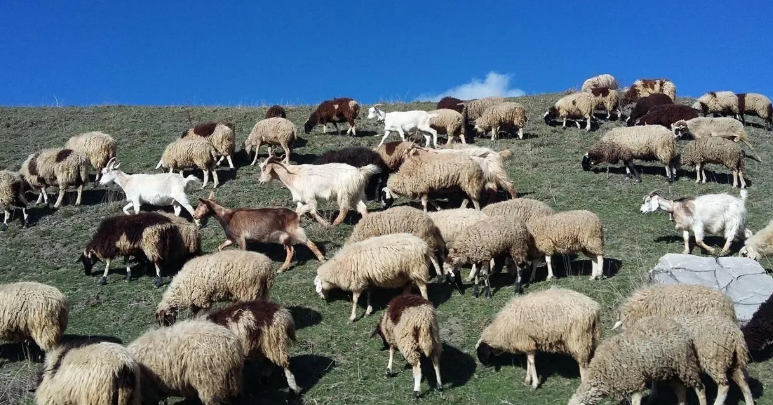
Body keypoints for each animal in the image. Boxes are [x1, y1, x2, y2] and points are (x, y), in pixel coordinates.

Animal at [193, 193, 325, 272]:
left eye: (200, 204)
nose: (194, 215)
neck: (227, 216)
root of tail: (296, 214)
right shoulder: (231, 238)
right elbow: (220, 247)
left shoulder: (241, 238)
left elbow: (243, 252)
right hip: (285, 236)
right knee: (290, 250)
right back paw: (282, 268)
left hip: (295, 231)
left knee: (309, 243)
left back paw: (322, 259)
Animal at [568, 316, 706, 405]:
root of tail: (678, 326)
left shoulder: (635, 380)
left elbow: (636, 401)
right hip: (669, 369)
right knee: (680, 389)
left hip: (685, 363)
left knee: (700, 388)